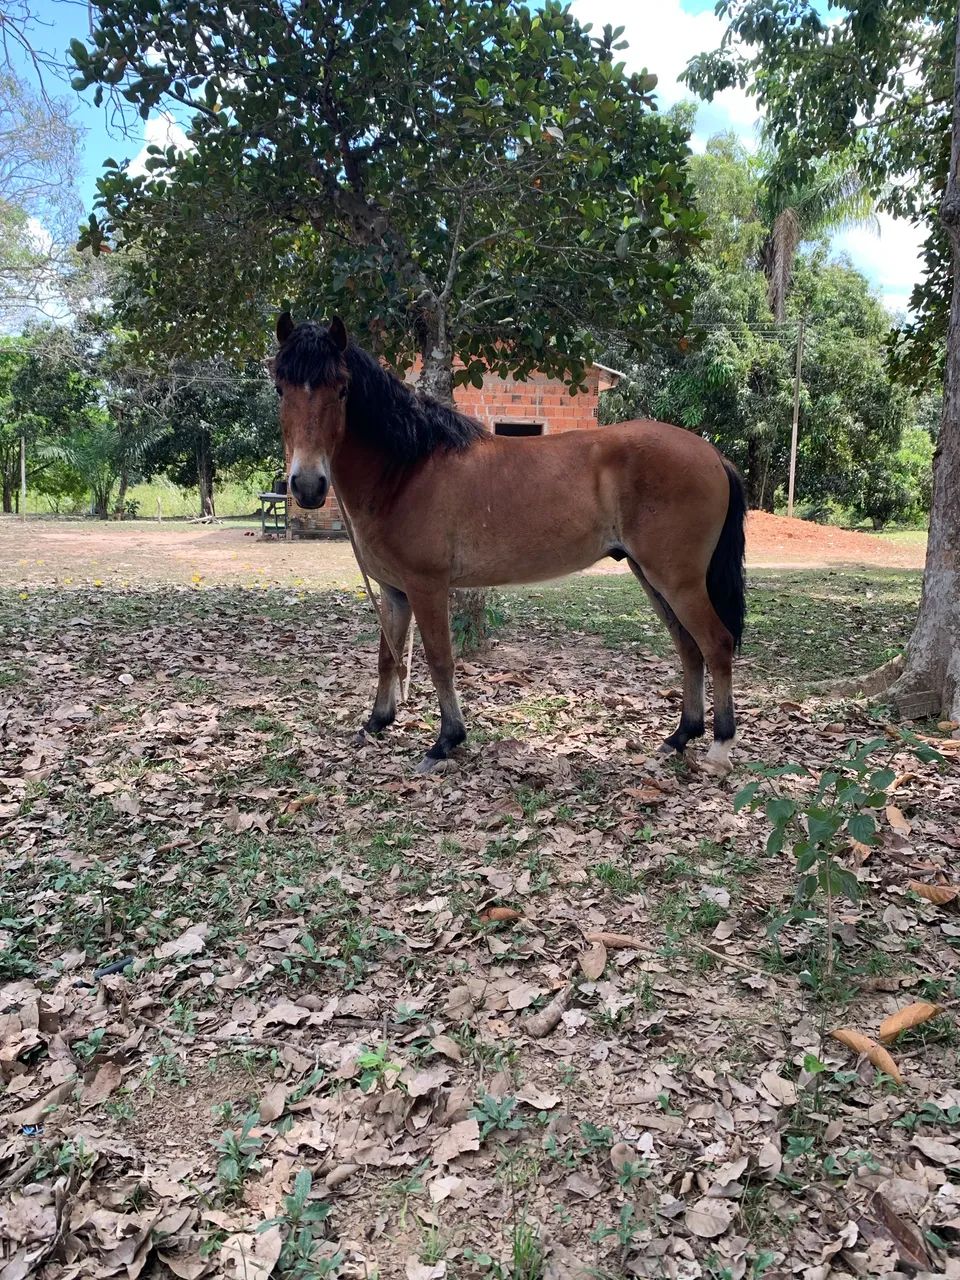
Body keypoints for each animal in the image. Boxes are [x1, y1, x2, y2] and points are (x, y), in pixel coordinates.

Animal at [272, 314, 747, 777]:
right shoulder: (394, 592)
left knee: (716, 644)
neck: (407, 469)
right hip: (652, 577)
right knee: (689, 648)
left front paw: (445, 741)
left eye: (342, 388)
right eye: (281, 387)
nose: (308, 485)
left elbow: (440, 659)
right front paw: (377, 722)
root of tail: (712, 454)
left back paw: (719, 746)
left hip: (677, 580)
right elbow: (387, 656)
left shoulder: (427, 586)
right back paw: (679, 737)